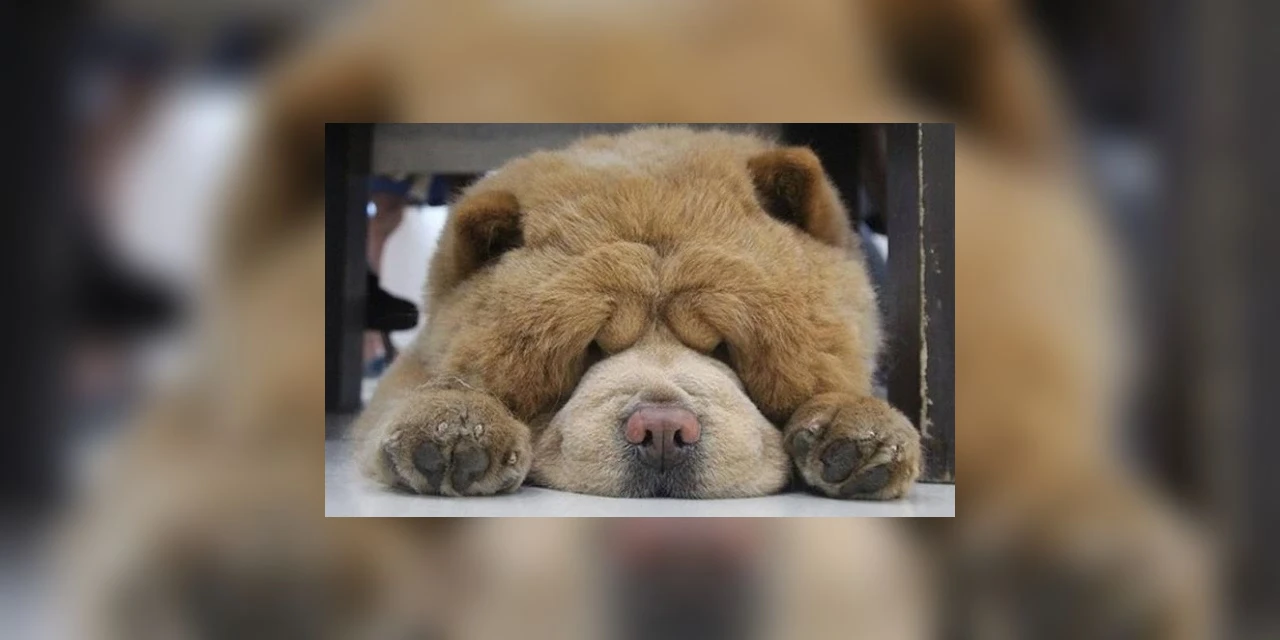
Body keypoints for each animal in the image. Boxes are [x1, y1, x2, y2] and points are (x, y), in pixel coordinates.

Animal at [353, 127, 922, 499]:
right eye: (589, 349)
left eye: (724, 348)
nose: (664, 431)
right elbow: (409, 392)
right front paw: (453, 420)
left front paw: (859, 427)